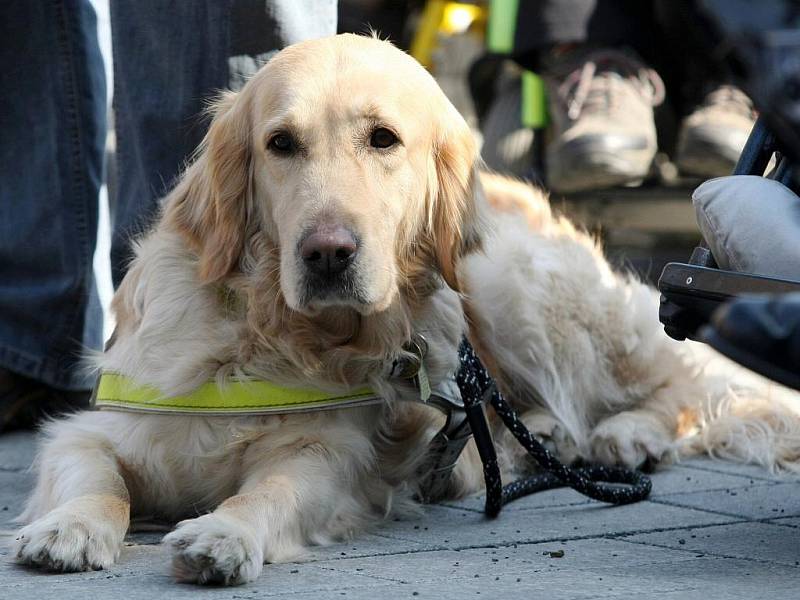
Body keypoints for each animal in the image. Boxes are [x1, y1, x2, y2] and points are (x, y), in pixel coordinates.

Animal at [10, 34, 800, 584]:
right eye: (279, 144)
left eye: (382, 139)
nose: (327, 253)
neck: (273, 334)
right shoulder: (96, 428)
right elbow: (97, 478)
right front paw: (69, 529)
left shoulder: (330, 454)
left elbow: (270, 491)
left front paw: (223, 535)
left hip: (518, 291)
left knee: (675, 380)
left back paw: (625, 435)